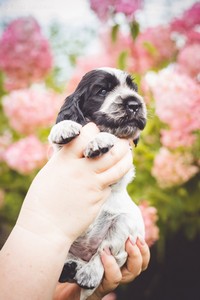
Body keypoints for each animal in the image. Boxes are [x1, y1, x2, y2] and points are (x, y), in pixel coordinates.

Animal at [48, 68, 147, 300]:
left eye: (133, 89)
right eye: (102, 91)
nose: (135, 104)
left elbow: (114, 138)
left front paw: (100, 141)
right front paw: (63, 128)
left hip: (125, 224)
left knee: (106, 252)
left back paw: (88, 273)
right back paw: (69, 268)